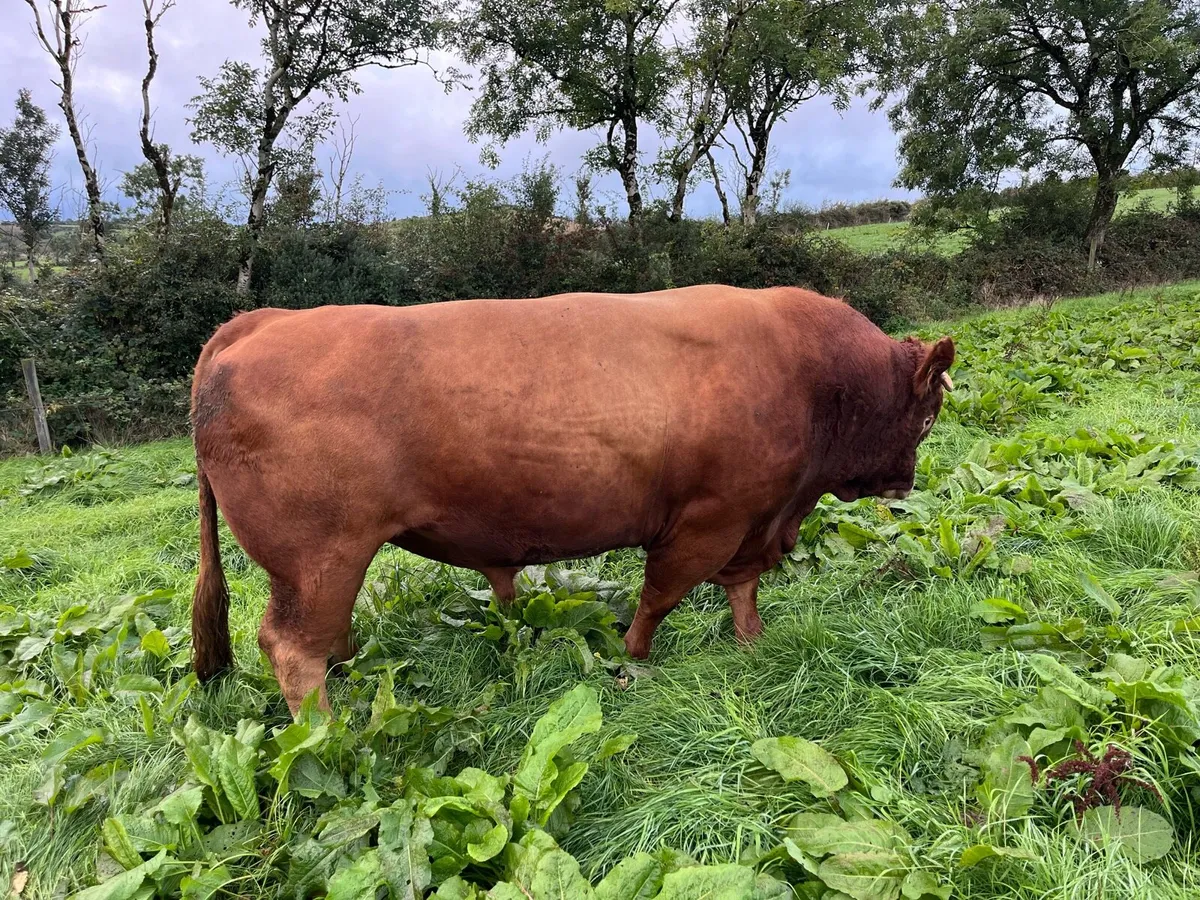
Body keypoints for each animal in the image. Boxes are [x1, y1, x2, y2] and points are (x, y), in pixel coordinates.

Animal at [190, 285, 954, 715]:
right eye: (925, 418)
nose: (906, 480)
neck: (808, 371)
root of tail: (261, 321)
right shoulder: (709, 519)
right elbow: (660, 594)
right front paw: (634, 657)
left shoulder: (753, 519)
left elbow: (742, 587)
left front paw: (752, 641)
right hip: (317, 558)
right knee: (293, 647)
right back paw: (327, 733)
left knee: (321, 640)